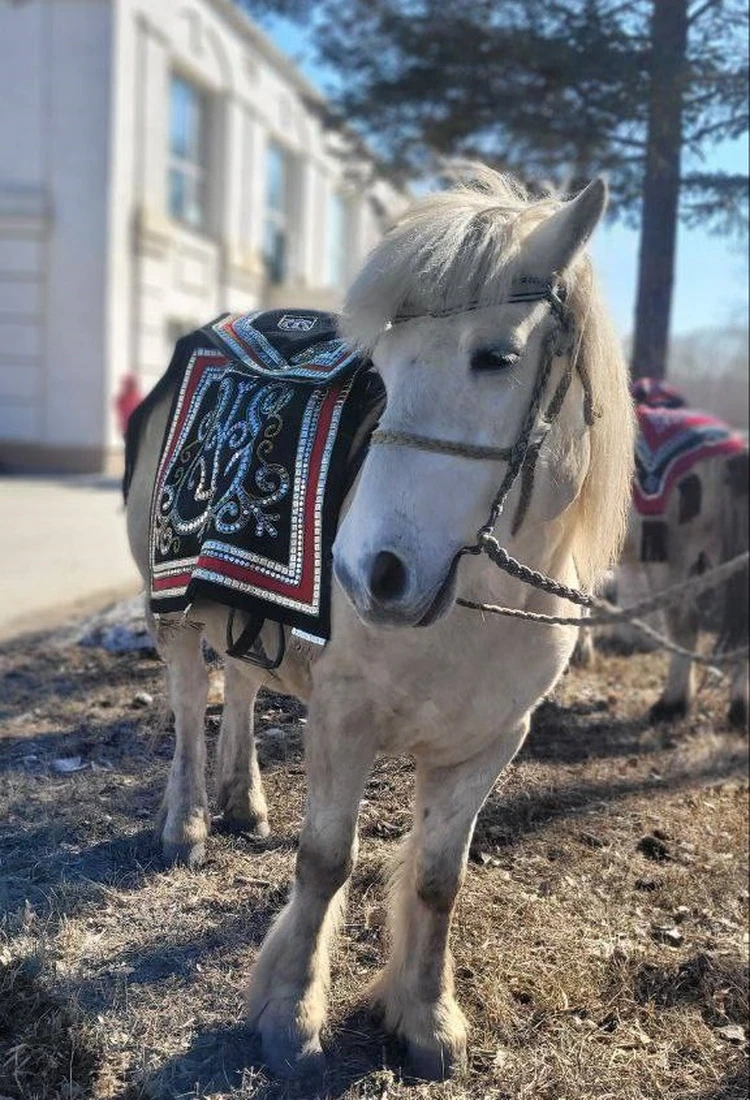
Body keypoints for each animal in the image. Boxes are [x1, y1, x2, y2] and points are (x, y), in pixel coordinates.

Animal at [122, 167, 629, 1078]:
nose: (371, 572)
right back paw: (188, 824)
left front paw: (425, 1017)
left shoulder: (493, 739)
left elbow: (437, 879)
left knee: (242, 685)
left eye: (496, 356)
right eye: (383, 369)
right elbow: (327, 860)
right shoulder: (344, 714)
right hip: (171, 605)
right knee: (186, 706)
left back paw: (243, 800)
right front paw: (291, 1015)